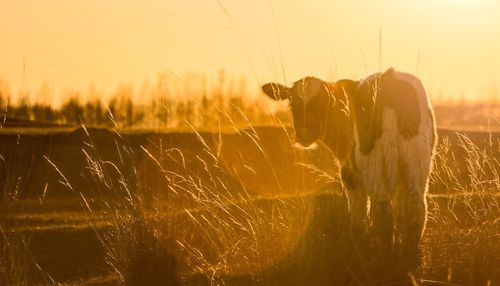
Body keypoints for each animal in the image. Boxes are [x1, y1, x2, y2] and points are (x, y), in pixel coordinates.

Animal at [262, 68, 438, 272]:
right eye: (292, 102)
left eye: (323, 103)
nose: (303, 134)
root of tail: (389, 77)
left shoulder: (350, 175)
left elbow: (358, 218)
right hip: (418, 166)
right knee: (415, 209)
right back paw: (410, 260)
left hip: (373, 166)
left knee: (382, 211)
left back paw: (381, 260)